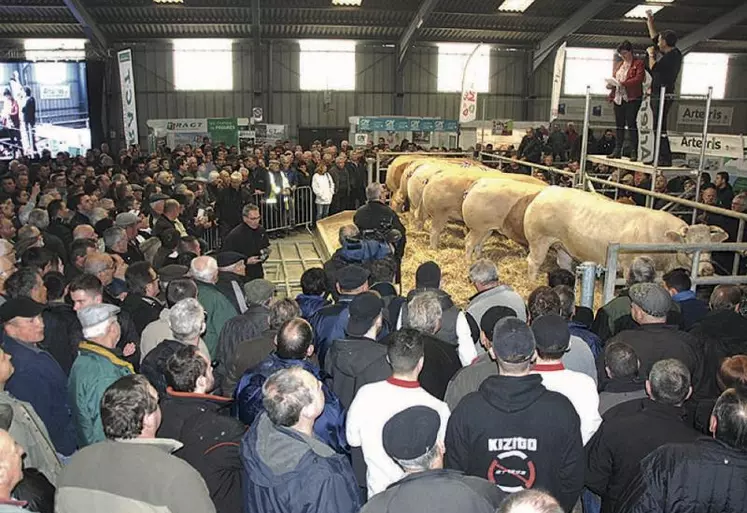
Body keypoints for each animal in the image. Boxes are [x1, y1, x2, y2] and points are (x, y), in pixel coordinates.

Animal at [524, 185, 728, 278]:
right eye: (688, 250)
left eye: (711, 249)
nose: (707, 270)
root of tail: (547, 191)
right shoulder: (630, 265)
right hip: (539, 239)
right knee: (533, 261)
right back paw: (532, 281)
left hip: (563, 245)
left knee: (564, 262)